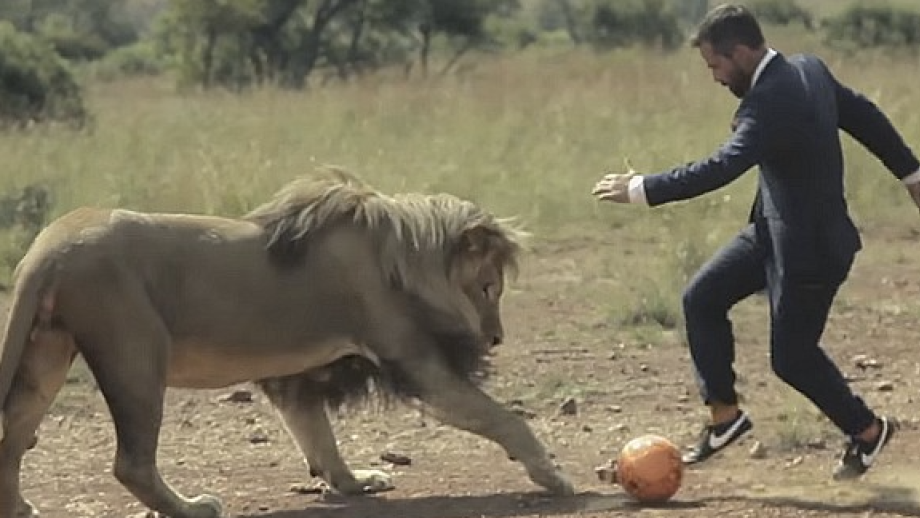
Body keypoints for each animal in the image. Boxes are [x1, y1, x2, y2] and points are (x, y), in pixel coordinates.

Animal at [0, 170, 576, 518]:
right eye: (488, 287)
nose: (496, 337)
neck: (402, 255)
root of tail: (49, 246)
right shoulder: (412, 360)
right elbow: (502, 418)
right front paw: (552, 475)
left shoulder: (295, 379)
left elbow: (318, 437)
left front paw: (354, 482)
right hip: (135, 354)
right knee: (132, 463)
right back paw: (192, 507)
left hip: (46, 357)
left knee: (12, 436)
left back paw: (19, 506)